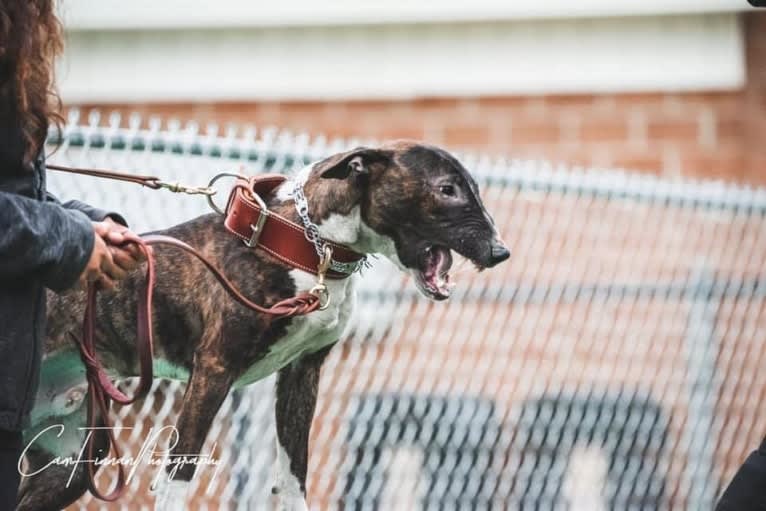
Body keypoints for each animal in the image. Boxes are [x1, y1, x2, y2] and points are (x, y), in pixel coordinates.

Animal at [16, 142, 510, 511]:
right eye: (447, 189)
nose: (500, 252)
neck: (308, 246)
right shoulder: (213, 371)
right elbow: (179, 476)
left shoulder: (302, 374)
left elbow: (294, 479)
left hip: (75, 459)